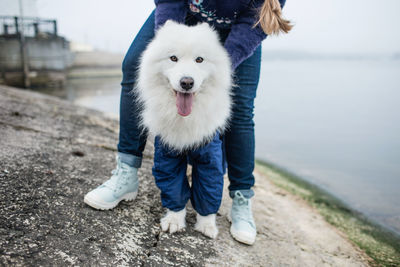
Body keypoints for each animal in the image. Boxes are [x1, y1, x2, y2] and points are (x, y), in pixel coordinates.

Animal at [137, 21, 231, 239]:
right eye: (173, 58)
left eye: (199, 59)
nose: (187, 82)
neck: (185, 118)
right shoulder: (167, 153)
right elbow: (174, 189)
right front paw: (174, 220)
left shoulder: (210, 157)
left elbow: (208, 191)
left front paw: (207, 225)